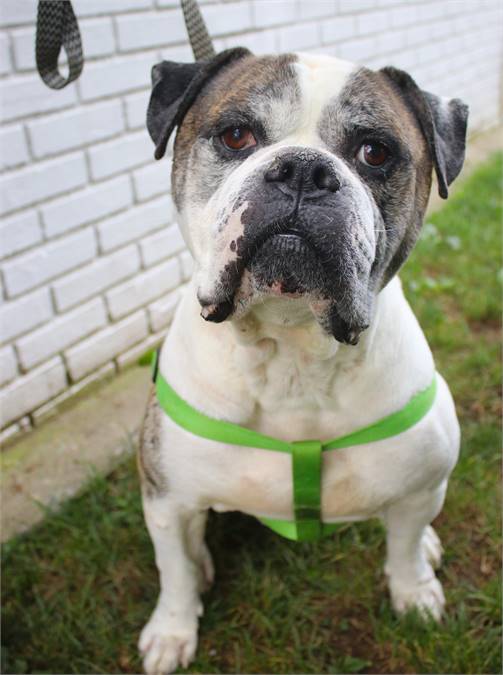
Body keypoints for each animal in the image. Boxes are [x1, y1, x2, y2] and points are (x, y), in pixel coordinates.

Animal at [137, 48, 468, 675]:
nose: (303, 171)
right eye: (236, 135)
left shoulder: (418, 491)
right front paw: (171, 630)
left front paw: (414, 593)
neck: (293, 354)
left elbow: (405, 548)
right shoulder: (166, 500)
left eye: (375, 152)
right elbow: (174, 572)